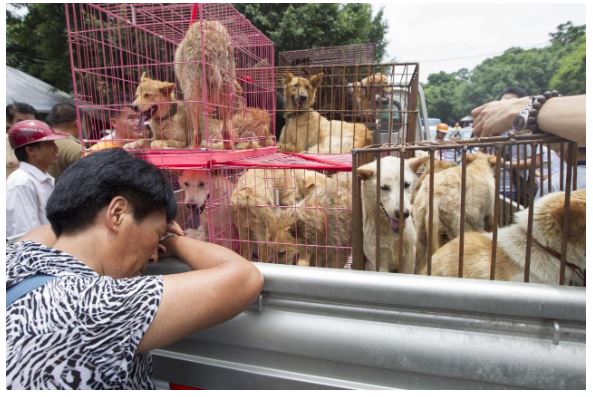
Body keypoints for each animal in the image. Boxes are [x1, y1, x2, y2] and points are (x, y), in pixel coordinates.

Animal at [173, 19, 236, 148]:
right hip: (227, 88)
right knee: (226, 130)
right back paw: (228, 147)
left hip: (193, 93)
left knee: (198, 133)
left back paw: (194, 147)